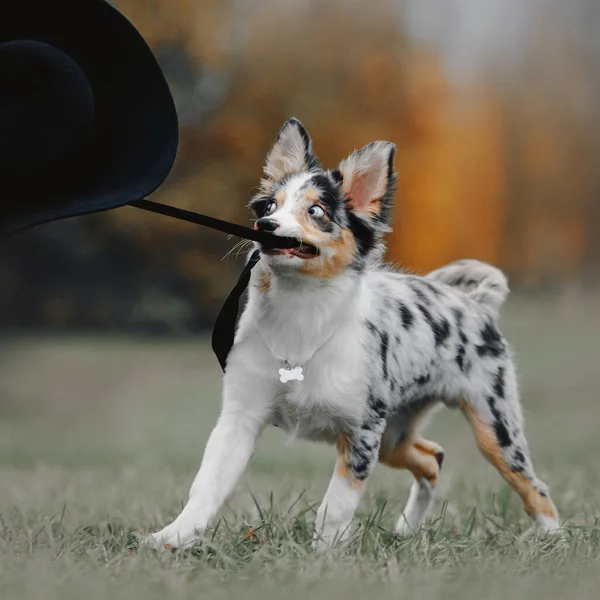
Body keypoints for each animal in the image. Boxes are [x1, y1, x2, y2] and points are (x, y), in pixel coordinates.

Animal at [148, 116, 560, 548]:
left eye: (316, 210)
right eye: (270, 206)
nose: (266, 225)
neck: (301, 311)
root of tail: (475, 303)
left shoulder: (361, 434)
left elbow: (335, 507)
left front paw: (324, 554)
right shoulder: (240, 418)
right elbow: (207, 485)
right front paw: (173, 537)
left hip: (493, 429)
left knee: (534, 488)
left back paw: (555, 540)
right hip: (395, 435)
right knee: (433, 458)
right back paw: (408, 528)